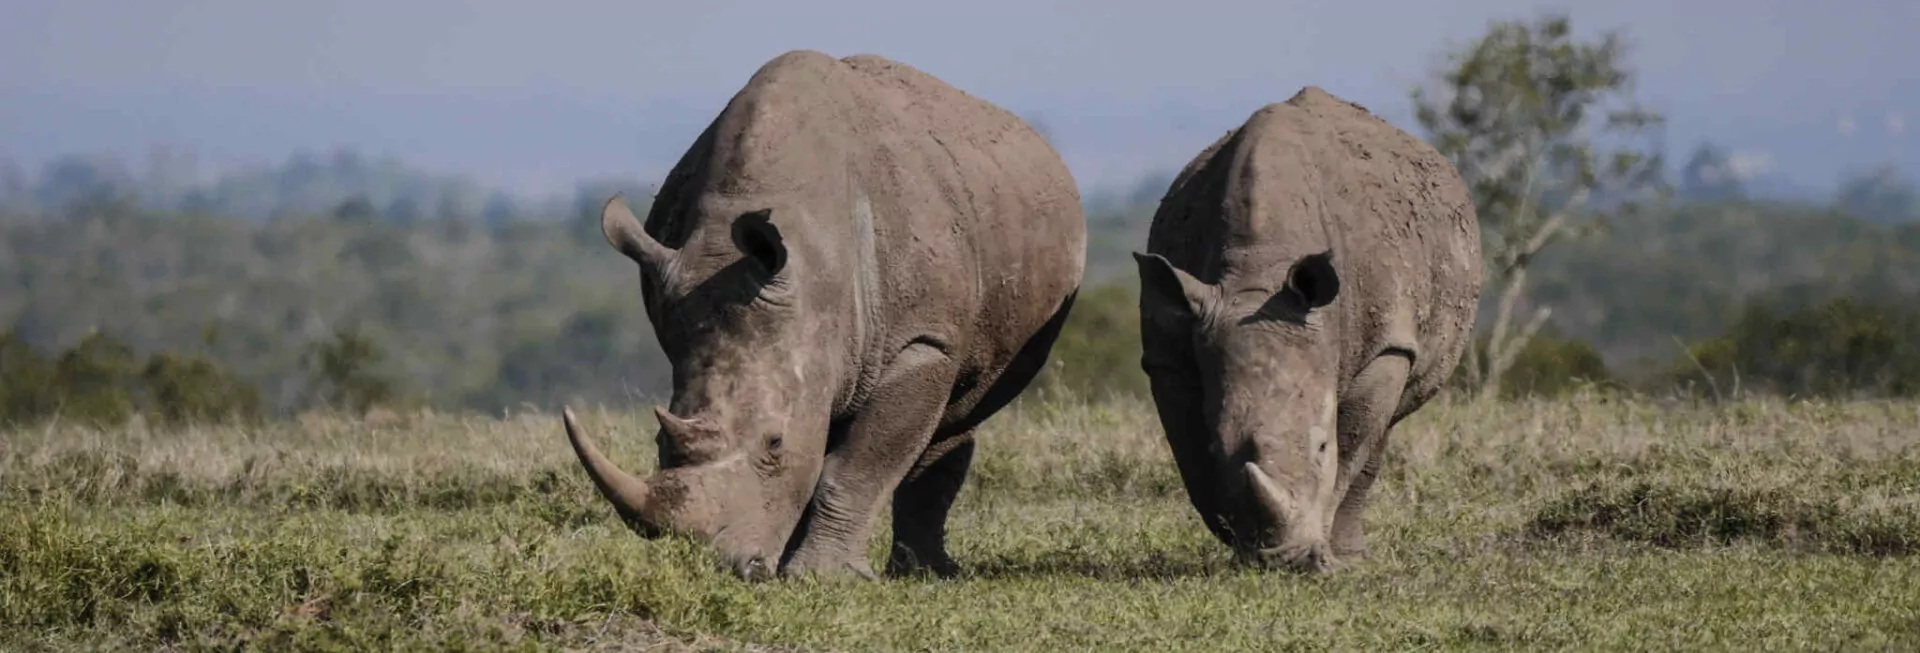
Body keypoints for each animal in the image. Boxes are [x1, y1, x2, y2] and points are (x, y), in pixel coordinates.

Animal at [561, 50, 1086, 580]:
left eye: (774, 443)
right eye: (658, 441)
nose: (738, 568)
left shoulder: (922, 342)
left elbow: (857, 464)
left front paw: (822, 576)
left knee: (959, 411)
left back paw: (925, 573)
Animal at [1132, 87, 1481, 572]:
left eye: (1320, 447)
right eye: (1219, 447)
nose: (1284, 561)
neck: (1258, 273)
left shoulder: (1386, 345)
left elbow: (1351, 446)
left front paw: (1325, 557)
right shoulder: (1171, 352)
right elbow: (1190, 452)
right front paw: (1236, 542)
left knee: (1382, 427)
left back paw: (1351, 555)